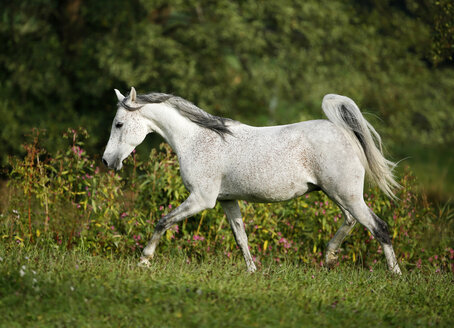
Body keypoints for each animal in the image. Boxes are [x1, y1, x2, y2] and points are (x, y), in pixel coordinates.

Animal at [103, 86, 400, 274]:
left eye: (119, 124)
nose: (107, 161)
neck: (198, 140)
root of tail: (343, 132)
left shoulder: (201, 199)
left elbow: (163, 221)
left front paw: (144, 260)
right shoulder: (227, 201)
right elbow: (241, 238)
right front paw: (252, 271)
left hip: (346, 194)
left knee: (379, 227)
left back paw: (395, 275)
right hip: (337, 194)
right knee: (351, 221)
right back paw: (329, 258)